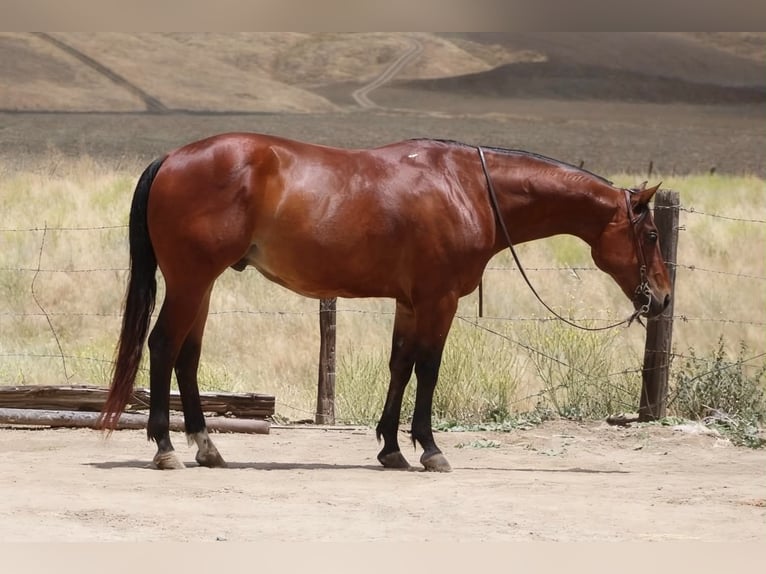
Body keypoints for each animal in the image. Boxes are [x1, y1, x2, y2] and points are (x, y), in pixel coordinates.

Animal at [99, 133, 672, 472]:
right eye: (650, 235)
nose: (663, 299)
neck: (468, 188)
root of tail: (172, 158)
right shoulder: (439, 301)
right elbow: (429, 369)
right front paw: (430, 448)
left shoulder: (411, 303)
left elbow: (400, 366)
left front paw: (391, 448)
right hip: (192, 280)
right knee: (163, 346)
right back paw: (166, 448)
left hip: (202, 285)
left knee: (187, 356)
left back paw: (206, 445)